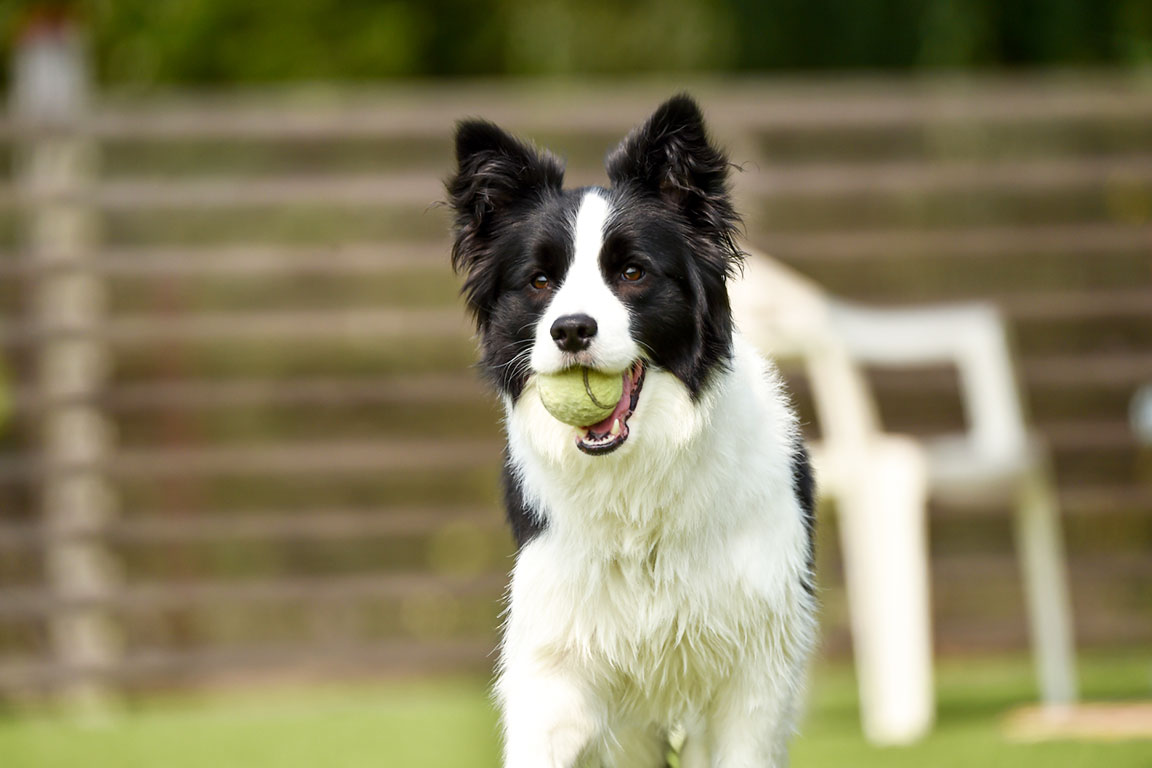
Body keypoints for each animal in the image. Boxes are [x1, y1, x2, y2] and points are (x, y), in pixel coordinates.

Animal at [444, 93, 815, 764]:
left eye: (633, 273)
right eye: (540, 282)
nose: (570, 329)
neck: (637, 485)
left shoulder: (752, 676)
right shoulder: (556, 661)